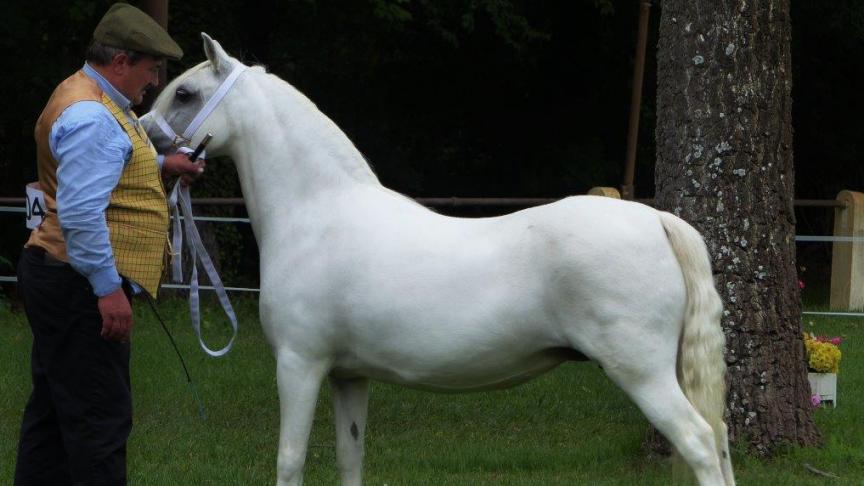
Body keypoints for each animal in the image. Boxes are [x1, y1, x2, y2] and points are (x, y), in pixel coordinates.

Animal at [141, 33, 735, 486]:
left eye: (185, 93)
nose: (142, 140)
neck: (318, 212)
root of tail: (656, 220)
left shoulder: (299, 364)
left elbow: (289, 462)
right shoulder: (348, 377)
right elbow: (350, 460)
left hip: (642, 371)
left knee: (700, 443)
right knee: (722, 442)